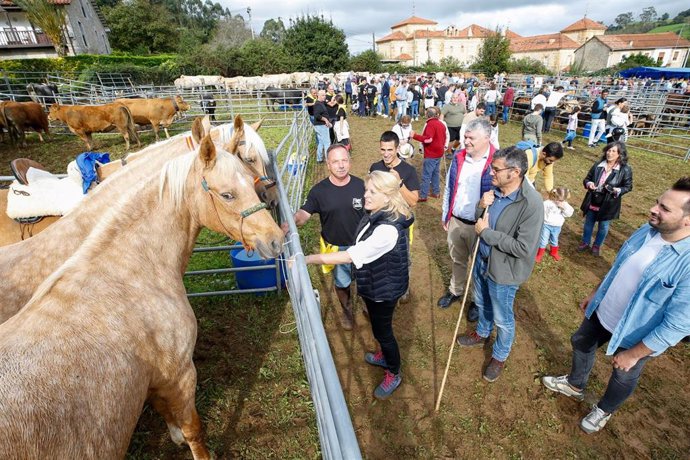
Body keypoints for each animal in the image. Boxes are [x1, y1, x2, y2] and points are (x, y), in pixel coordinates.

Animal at [0, 132, 282, 456]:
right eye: (227, 195)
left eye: (248, 177)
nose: (276, 239)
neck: (128, 266)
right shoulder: (180, 375)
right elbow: (194, 431)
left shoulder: (154, 382)